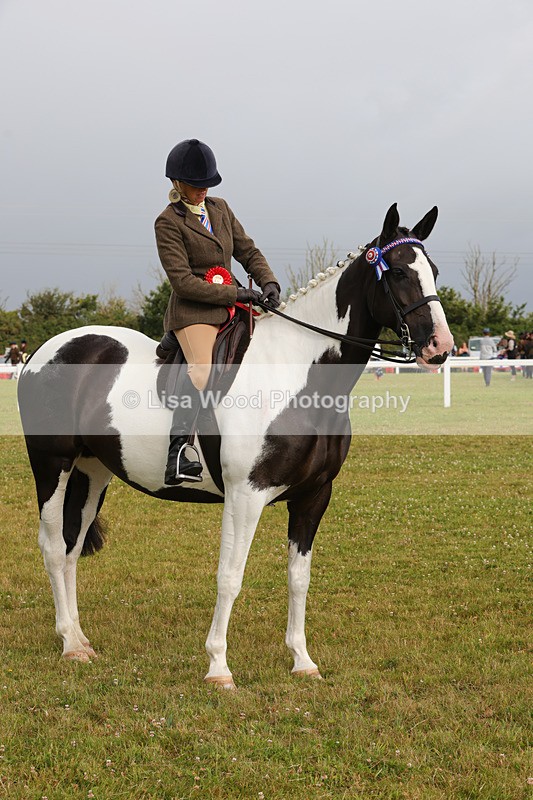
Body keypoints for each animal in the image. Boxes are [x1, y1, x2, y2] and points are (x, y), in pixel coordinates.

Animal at [18, 203, 454, 689]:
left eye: (433, 271)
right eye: (397, 271)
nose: (440, 346)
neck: (297, 374)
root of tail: (45, 352)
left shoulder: (314, 495)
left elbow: (299, 578)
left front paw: (302, 660)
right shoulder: (246, 495)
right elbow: (230, 576)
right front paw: (218, 667)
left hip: (93, 471)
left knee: (72, 548)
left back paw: (79, 639)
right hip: (52, 465)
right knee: (53, 546)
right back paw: (69, 643)